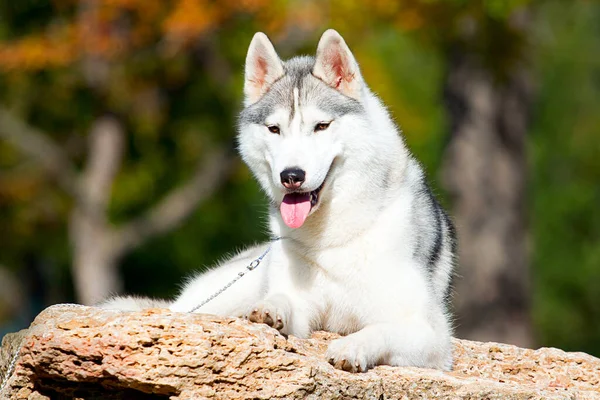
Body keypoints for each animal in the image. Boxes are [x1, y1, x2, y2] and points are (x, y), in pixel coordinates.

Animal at [101, 28, 458, 372]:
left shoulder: (431, 335)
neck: (331, 240)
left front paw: (351, 346)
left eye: (321, 126)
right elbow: (283, 301)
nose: (291, 176)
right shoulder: (302, 305)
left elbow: (379, 330)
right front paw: (269, 309)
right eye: (274, 129)